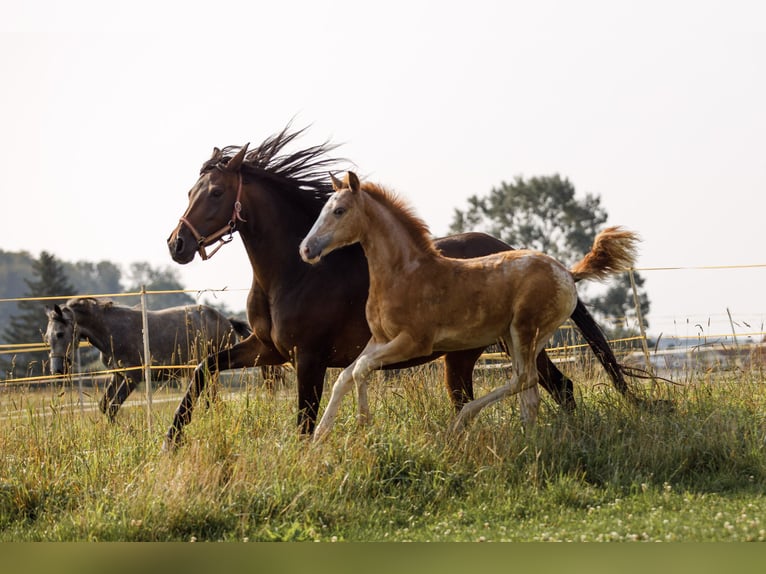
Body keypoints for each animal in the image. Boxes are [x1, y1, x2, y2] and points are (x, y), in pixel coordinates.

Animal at [44, 297, 253, 420]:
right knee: (212, 400)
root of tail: (226, 320)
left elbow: (113, 407)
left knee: (212, 400)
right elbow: (104, 406)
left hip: (212, 371)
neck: (112, 331)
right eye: (47, 337)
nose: (57, 370)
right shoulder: (118, 375)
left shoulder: (132, 377)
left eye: (60, 334)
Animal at [300, 171, 640, 439]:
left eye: (339, 210)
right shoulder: (379, 340)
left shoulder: (413, 343)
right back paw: (528, 441)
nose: (306, 249)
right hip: (515, 338)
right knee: (529, 394)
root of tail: (567, 273)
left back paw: (462, 421)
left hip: (525, 331)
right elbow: (345, 376)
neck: (404, 274)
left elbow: (360, 370)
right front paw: (320, 437)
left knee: (524, 380)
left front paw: (363, 423)